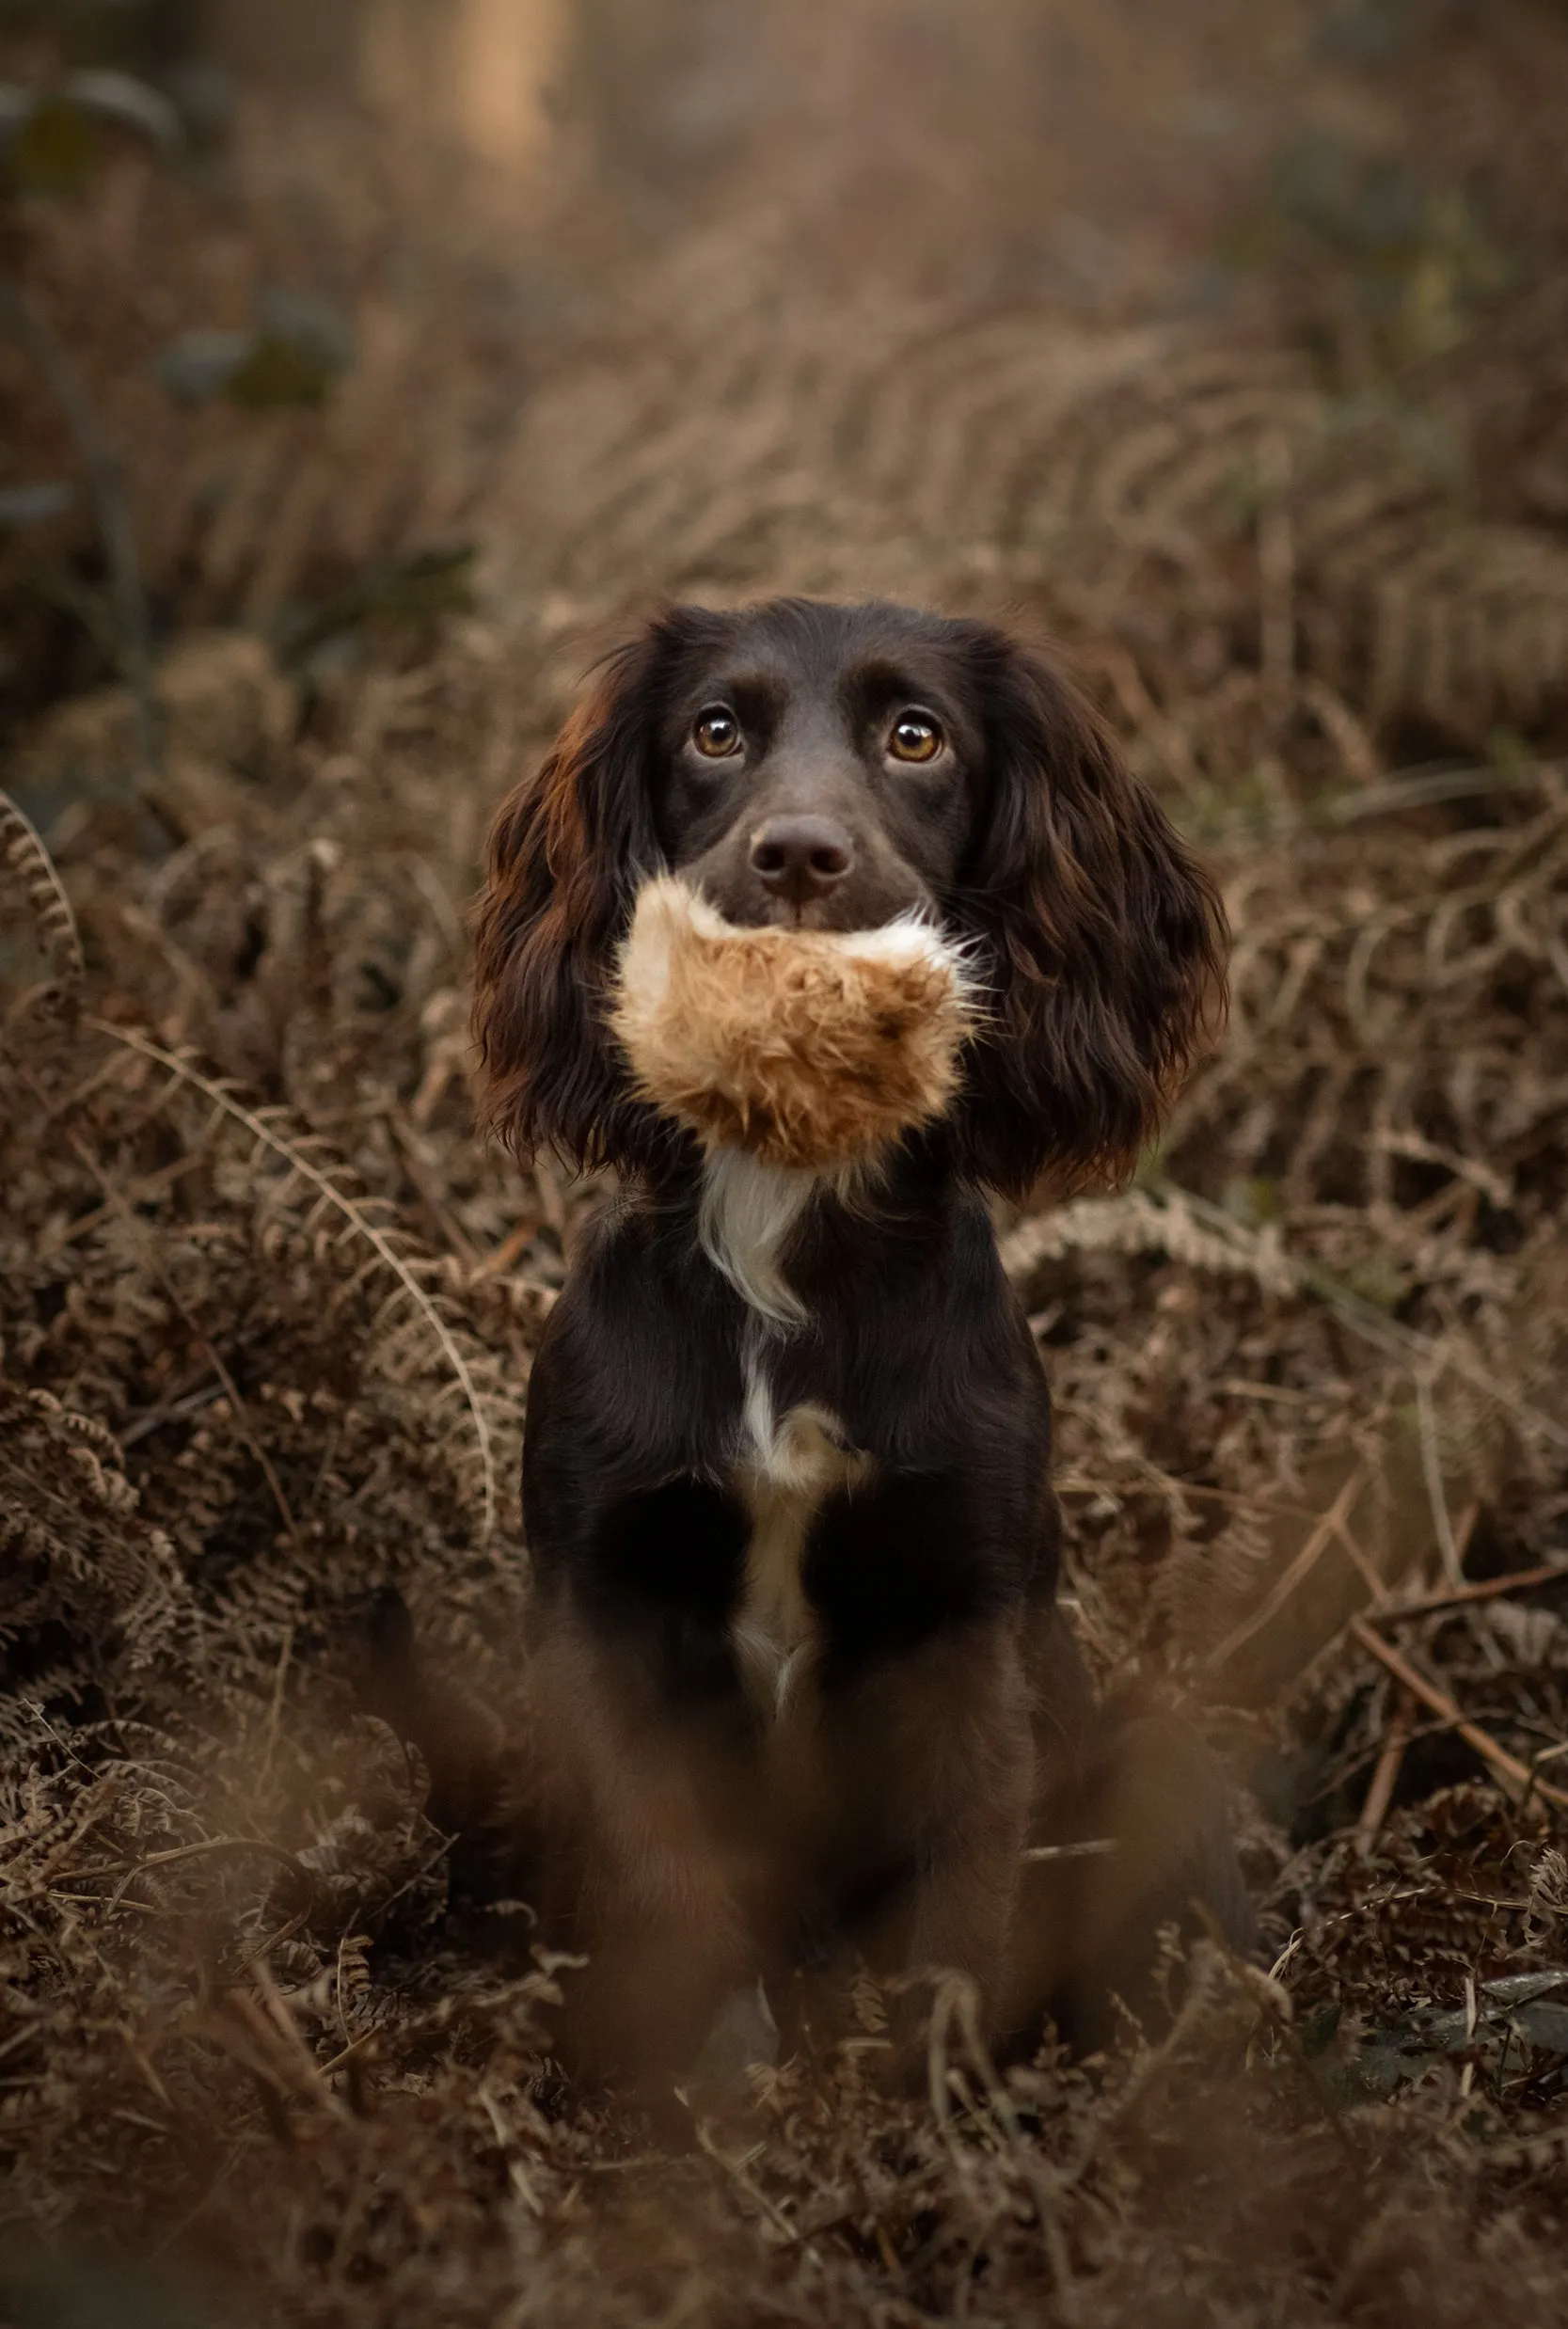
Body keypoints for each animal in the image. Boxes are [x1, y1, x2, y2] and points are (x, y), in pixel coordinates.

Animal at [466, 600, 1248, 2096]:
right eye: (715, 730)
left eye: (915, 735)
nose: (797, 856)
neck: (786, 1218)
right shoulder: (604, 1604)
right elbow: (669, 1877)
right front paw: (713, 2103)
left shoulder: (967, 1618)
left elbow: (960, 1898)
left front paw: (927, 2111)